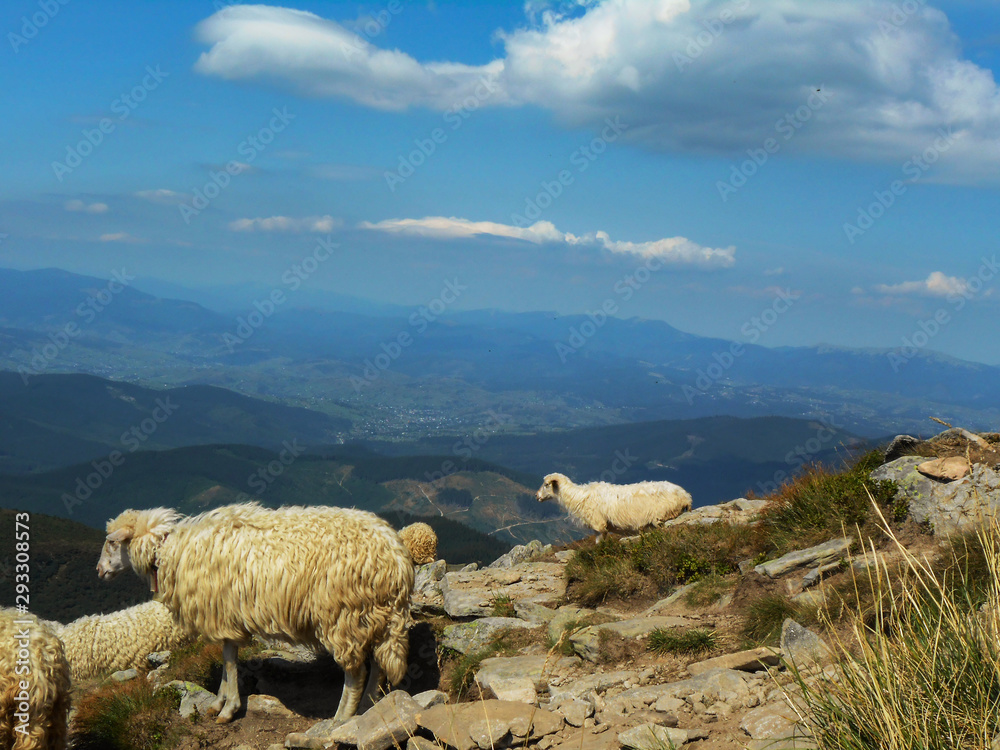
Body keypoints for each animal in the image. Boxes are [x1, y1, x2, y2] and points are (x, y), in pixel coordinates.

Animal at [96, 502, 414, 725]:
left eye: (112, 542)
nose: (98, 571)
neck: (169, 550)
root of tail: (398, 559)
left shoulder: (222, 616)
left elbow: (229, 661)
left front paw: (229, 709)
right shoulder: (226, 617)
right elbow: (228, 658)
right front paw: (219, 702)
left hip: (343, 615)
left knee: (356, 671)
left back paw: (341, 718)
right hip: (372, 615)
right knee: (377, 663)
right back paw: (368, 706)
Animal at [536, 472, 692, 541]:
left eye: (546, 485)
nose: (537, 496)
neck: (577, 496)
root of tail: (685, 495)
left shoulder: (599, 525)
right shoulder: (598, 529)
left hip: (661, 518)